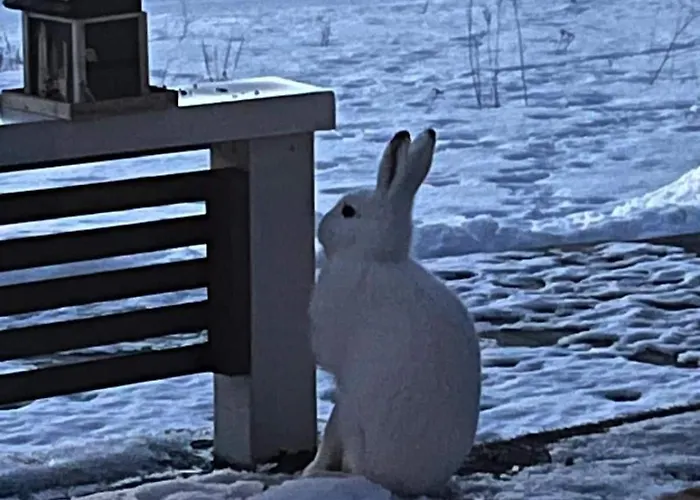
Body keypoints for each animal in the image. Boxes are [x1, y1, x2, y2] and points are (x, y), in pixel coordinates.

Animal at [302, 128, 482, 497]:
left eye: (348, 211)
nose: (322, 226)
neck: (376, 257)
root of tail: (401, 482)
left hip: (352, 415)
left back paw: (320, 475)